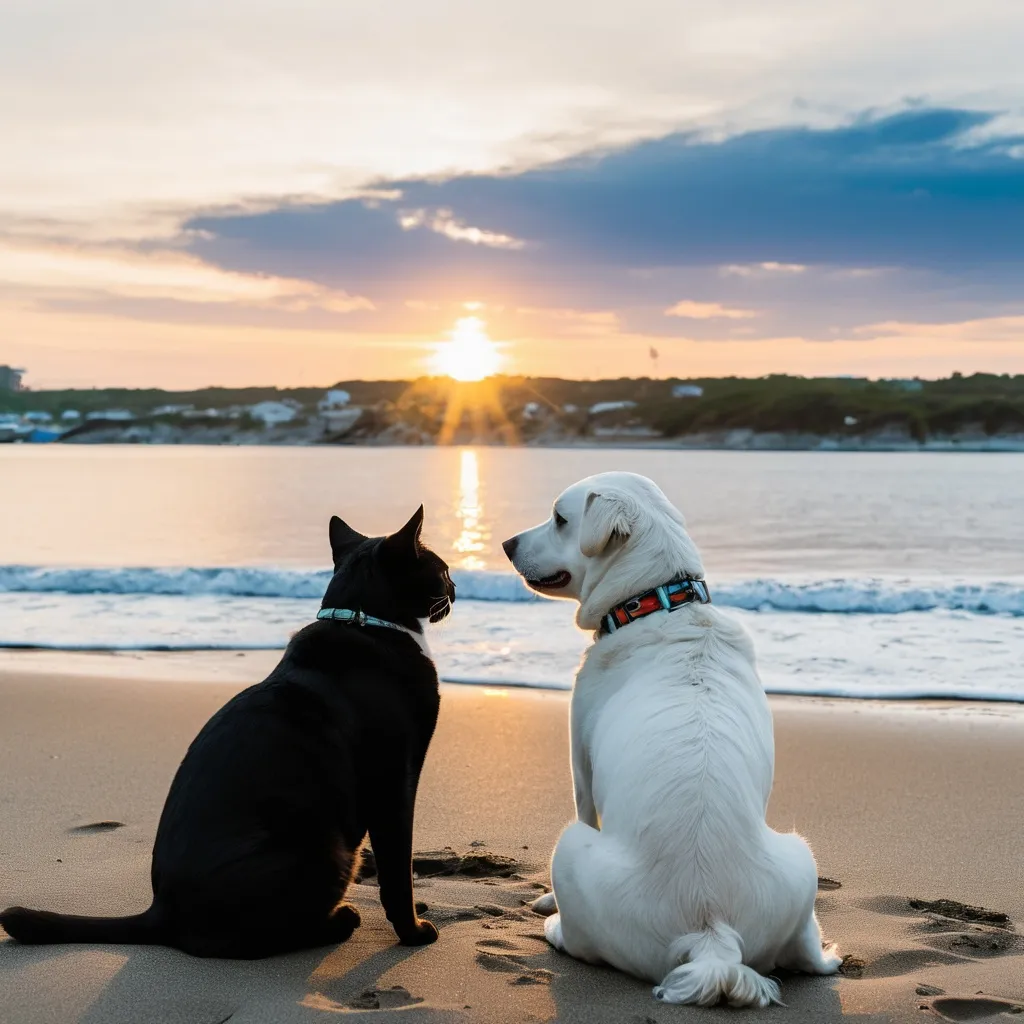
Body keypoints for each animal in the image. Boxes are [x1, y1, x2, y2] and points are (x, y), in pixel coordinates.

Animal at [0, 507, 456, 954]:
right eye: (444, 569)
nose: (455, 586)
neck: (363, 621)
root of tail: (160, 910)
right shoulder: (395, 782)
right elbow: (398, 869)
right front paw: (413, 931)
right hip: (327, 848)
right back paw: (341, 919)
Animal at [497, 473, 839, 1007]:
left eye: (559, 519)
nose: (507, 544)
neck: (658, 602)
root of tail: (710, 935)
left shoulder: (580, 767)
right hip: (803, 859)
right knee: (807, 953)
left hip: (569, 846)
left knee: (578, 937)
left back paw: (554, 926)